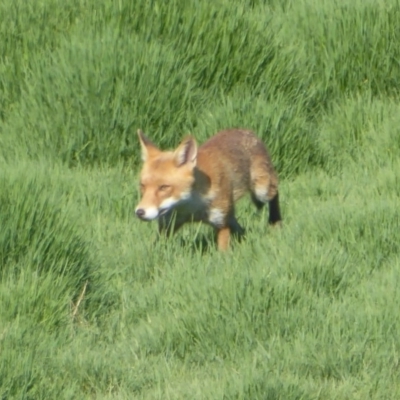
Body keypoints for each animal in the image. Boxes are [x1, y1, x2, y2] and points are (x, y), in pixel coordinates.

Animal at [134, 129, 282, 250]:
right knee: (241, 229)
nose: (139, 212)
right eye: (142, 186)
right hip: (231, 213)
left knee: (275, 192)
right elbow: (156, 248)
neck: (191, 207)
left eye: (164, 187)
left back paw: (275, 222)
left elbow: (223, 254)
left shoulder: (221, 224)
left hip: (261, 190)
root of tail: (246, 130)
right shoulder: (167, 225)